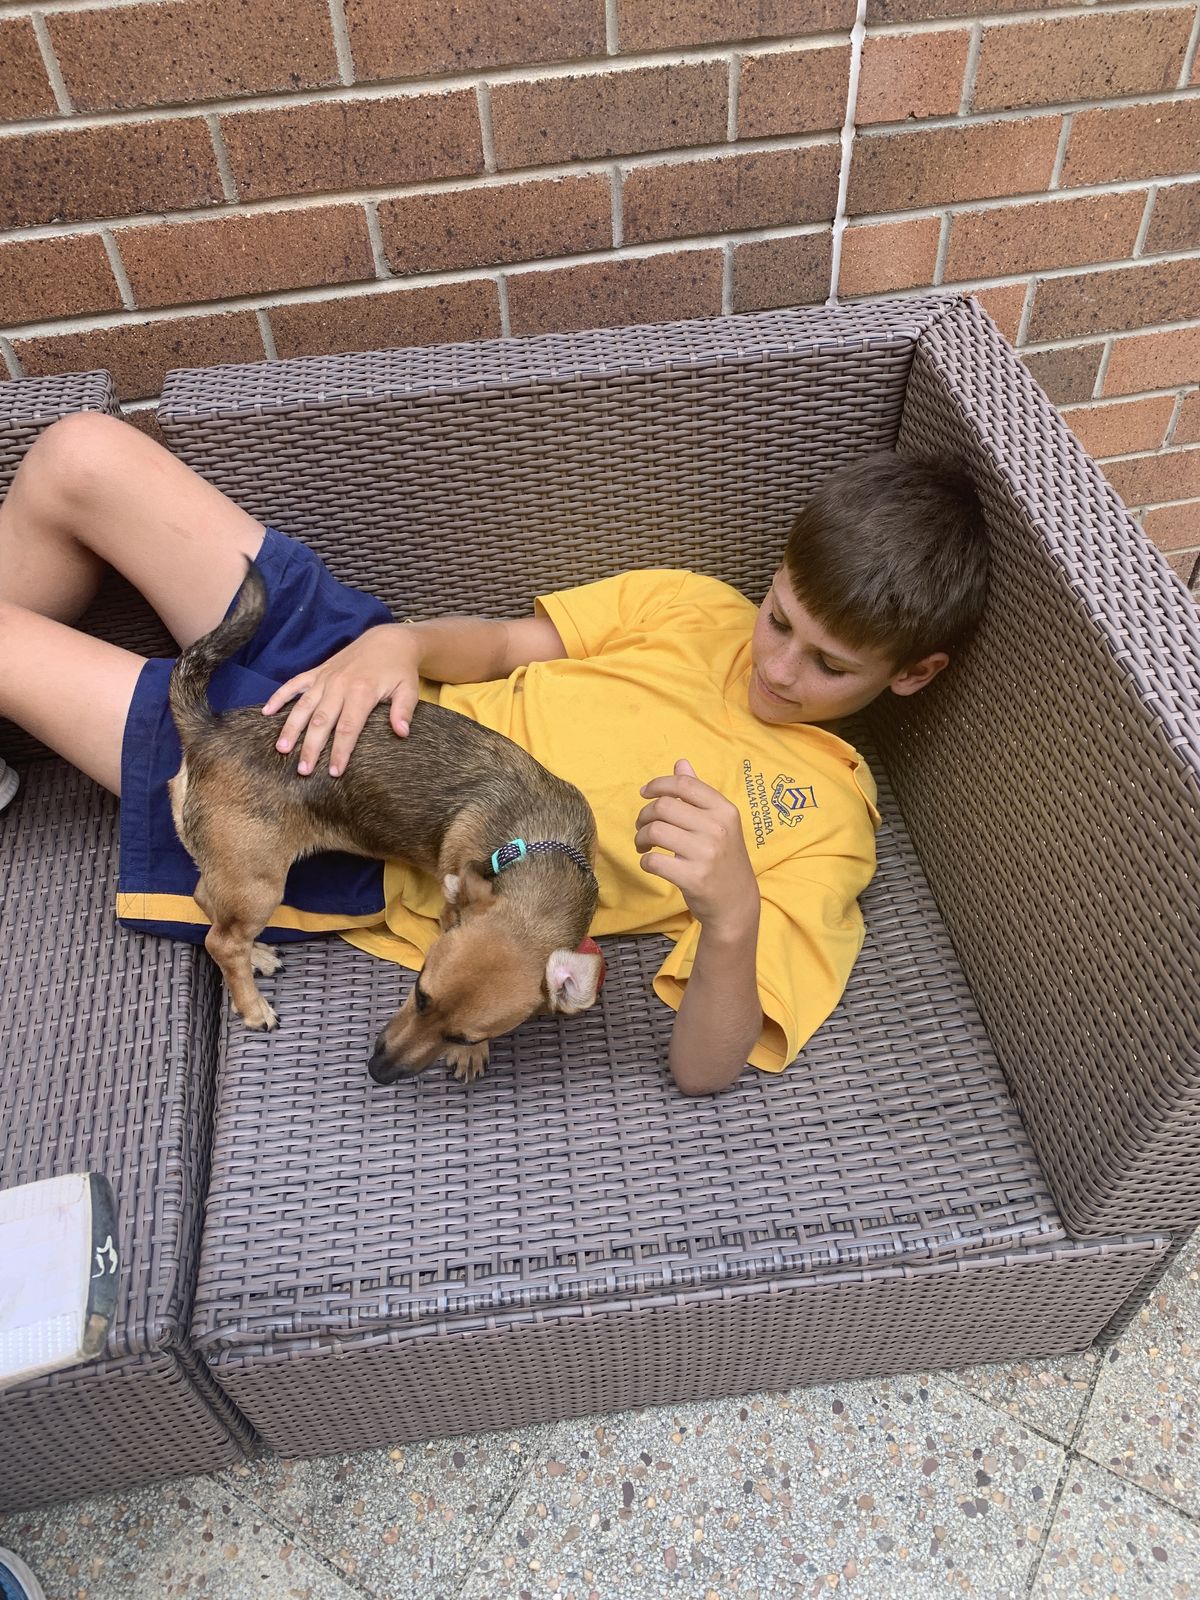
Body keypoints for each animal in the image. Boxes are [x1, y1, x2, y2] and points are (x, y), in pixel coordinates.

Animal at [167, 561, 602, 1085]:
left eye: (461, 1034)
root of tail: (208, 731)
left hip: (234, 873)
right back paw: (253, 1005)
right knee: (222, 939)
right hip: (258, 882)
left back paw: (258, 955)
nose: (377, 1070)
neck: (536, 840)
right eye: (419, 992)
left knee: (206, 904)